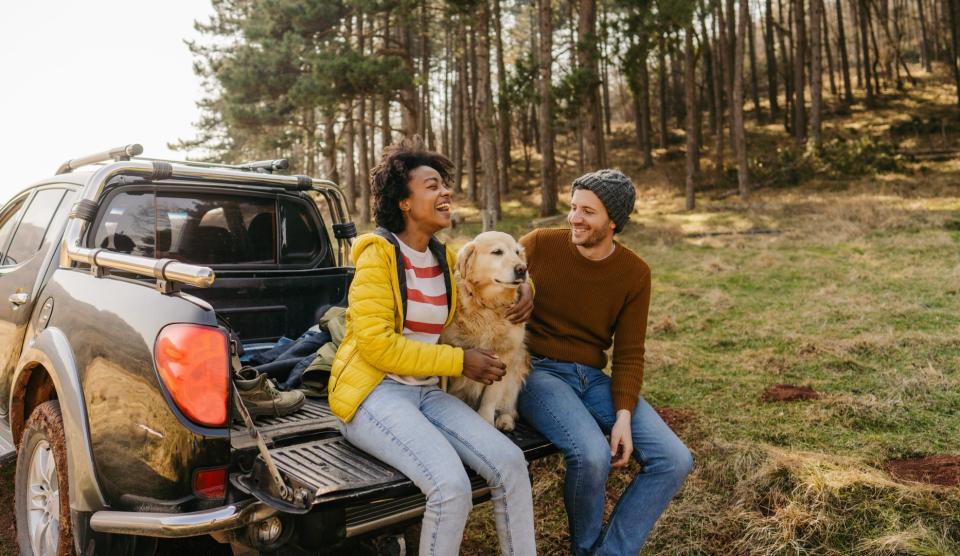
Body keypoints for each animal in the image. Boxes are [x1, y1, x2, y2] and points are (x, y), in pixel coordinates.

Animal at [442, 230, 532, 430]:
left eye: (517, 252)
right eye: (497, 252)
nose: (522, 269)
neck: (488, 306)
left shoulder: (505, 355)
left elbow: (491, 396)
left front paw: (486, 419)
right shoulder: (448, 345)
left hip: (518, 363)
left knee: (510, 406)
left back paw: (505, 419)